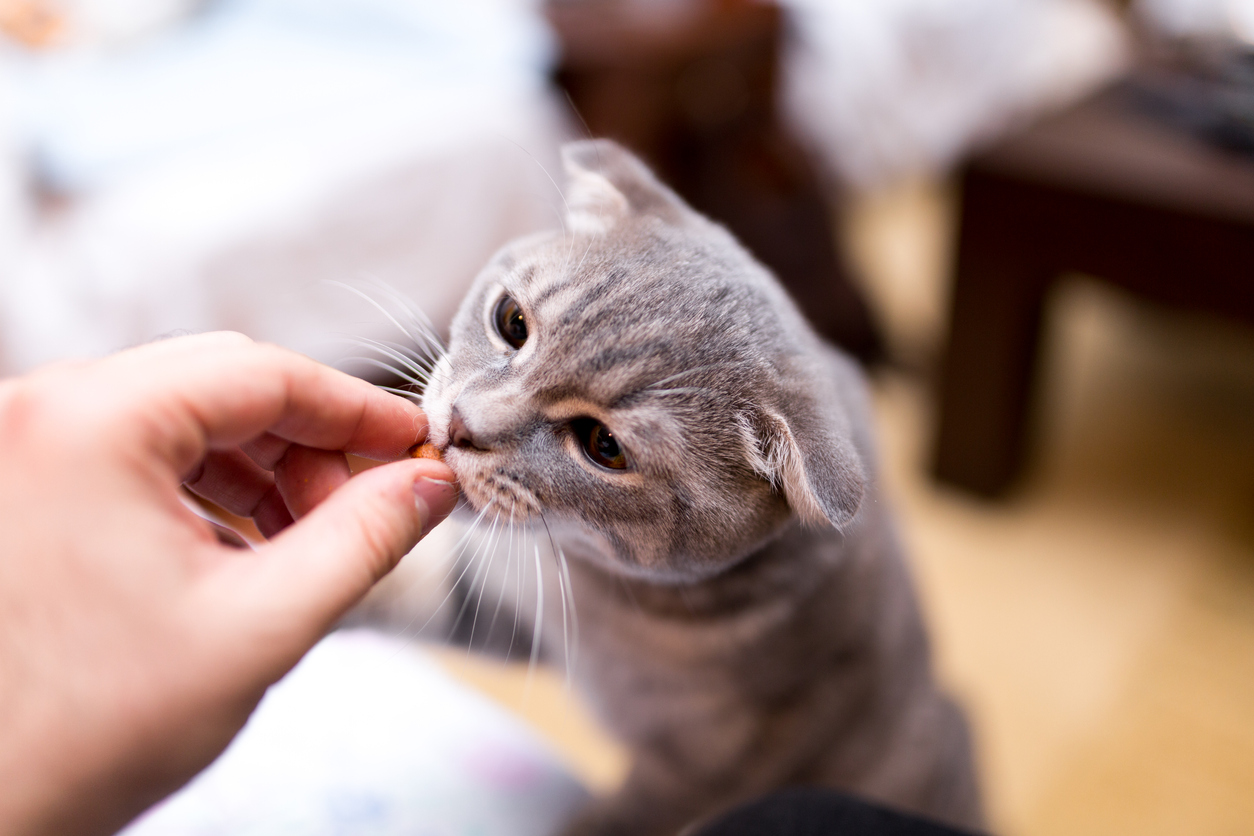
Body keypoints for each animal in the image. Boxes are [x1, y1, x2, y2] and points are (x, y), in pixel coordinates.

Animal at [351, 140, 978, 832]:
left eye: (604, 446)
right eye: (511, 321)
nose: (463, 424)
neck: (594, 597)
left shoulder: (694, 775)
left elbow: (601, 823)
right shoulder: (494, 604)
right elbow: (402, 592)